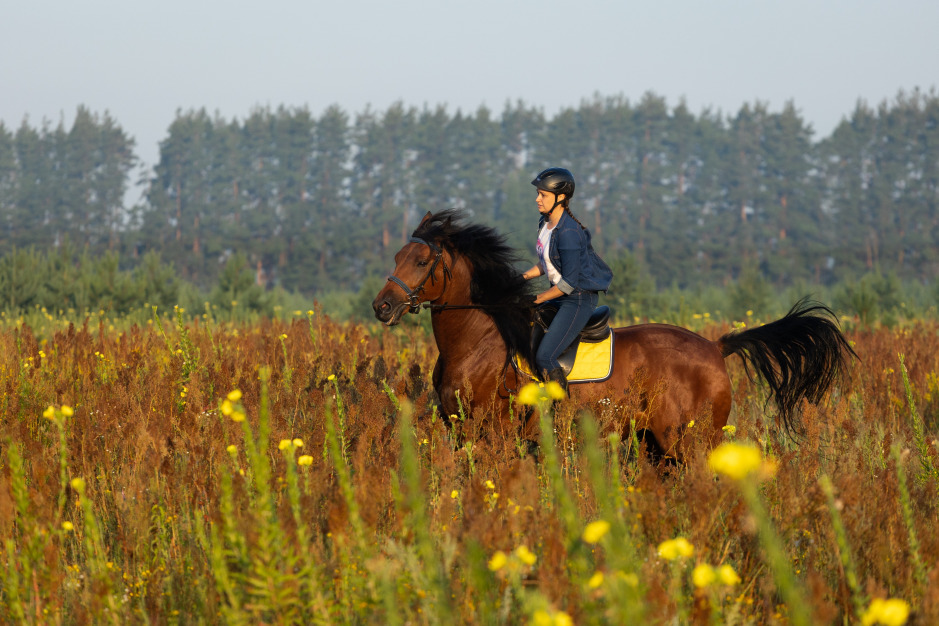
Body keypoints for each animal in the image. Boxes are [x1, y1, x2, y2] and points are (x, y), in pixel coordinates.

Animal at [372, 209, 855, 459]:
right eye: (396, 256)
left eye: (420, 261)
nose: (382, 307)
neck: (479, 343)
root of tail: (716, 347)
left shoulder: (489, 433)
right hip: (654, 444)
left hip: (692, 441)